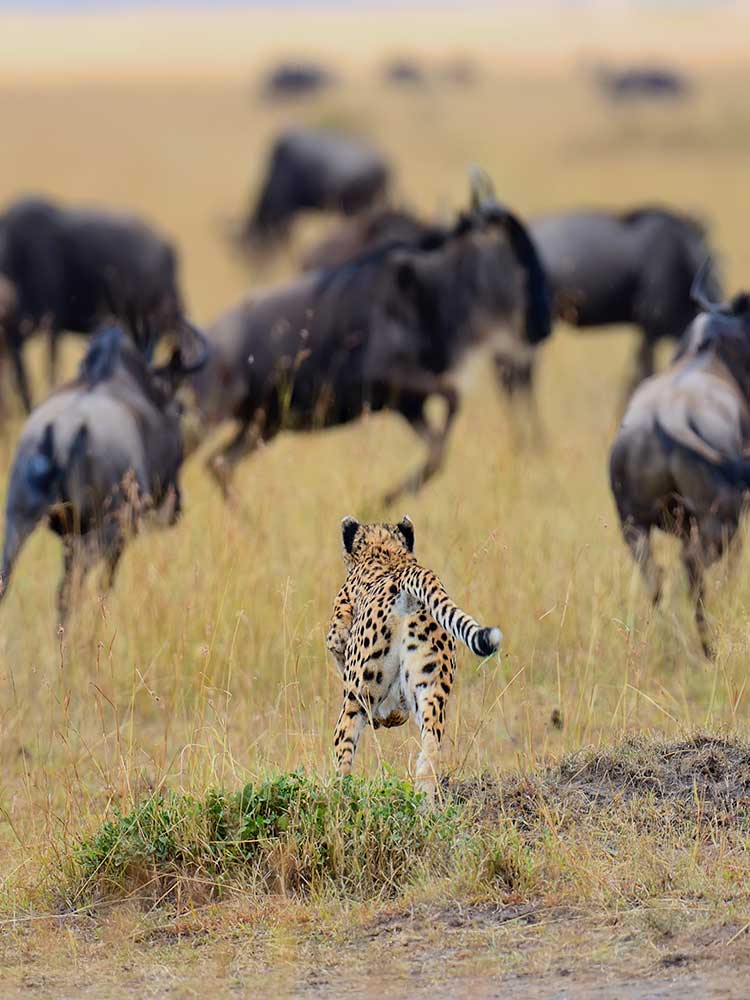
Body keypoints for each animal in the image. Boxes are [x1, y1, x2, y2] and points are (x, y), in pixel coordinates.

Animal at [325, 515, 502, 802]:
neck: (386, 551)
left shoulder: (338, 638)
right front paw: (391, 717)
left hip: (357, 693)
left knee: (345, 744)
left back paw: (337, 794)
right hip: (432, 685)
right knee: (431, 744)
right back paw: (425, 798)